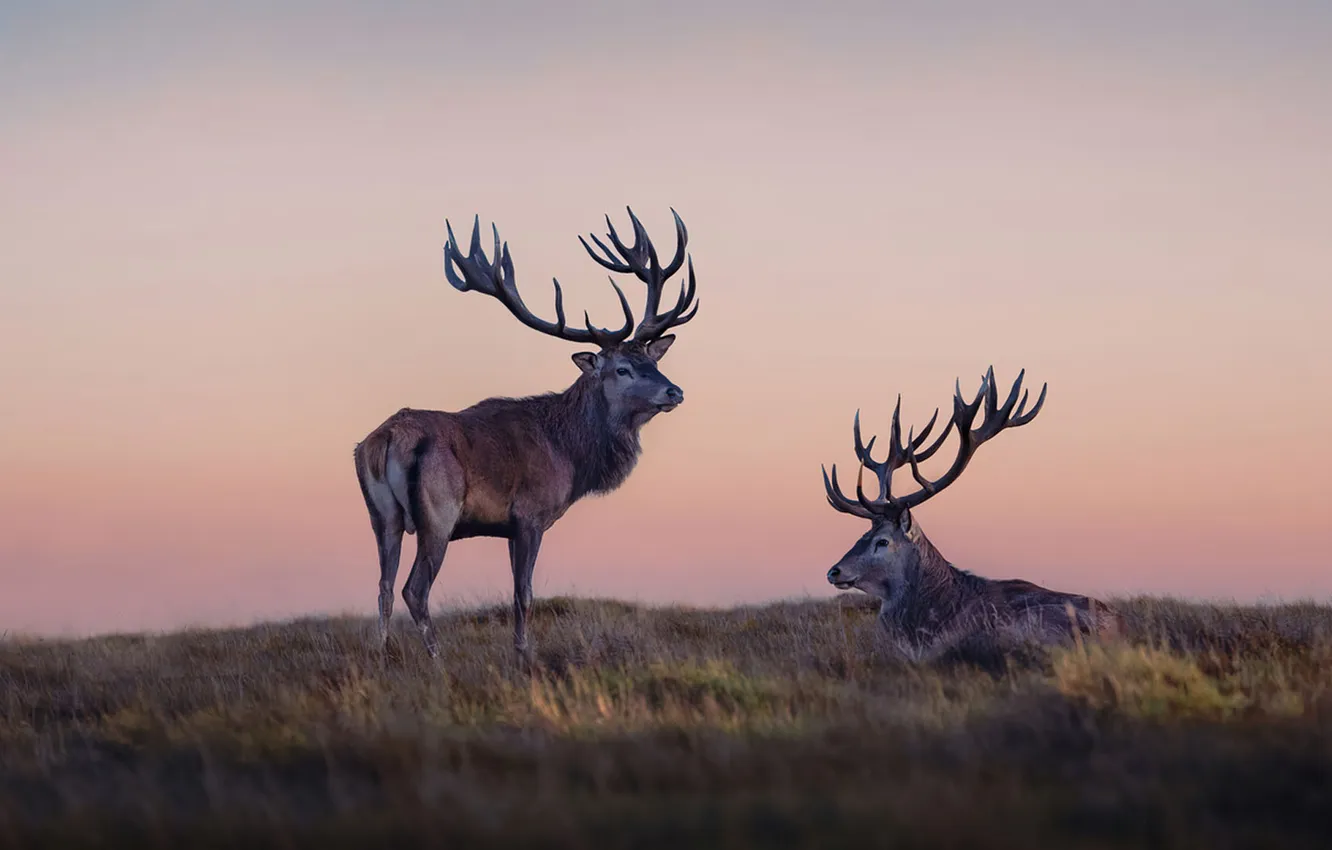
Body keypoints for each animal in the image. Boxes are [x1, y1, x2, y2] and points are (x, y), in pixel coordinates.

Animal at [359, 210, 703, 663]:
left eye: (652, 360)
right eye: (622, 369)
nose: (674, 391)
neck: (570, 457)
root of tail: (383, 441)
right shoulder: (529, 514)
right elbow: (524, 593)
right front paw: (524, 655)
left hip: (382, 517)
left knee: (382, 587)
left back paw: (382, 656)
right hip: (438, 513)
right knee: (413, 590)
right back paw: (437, 660)